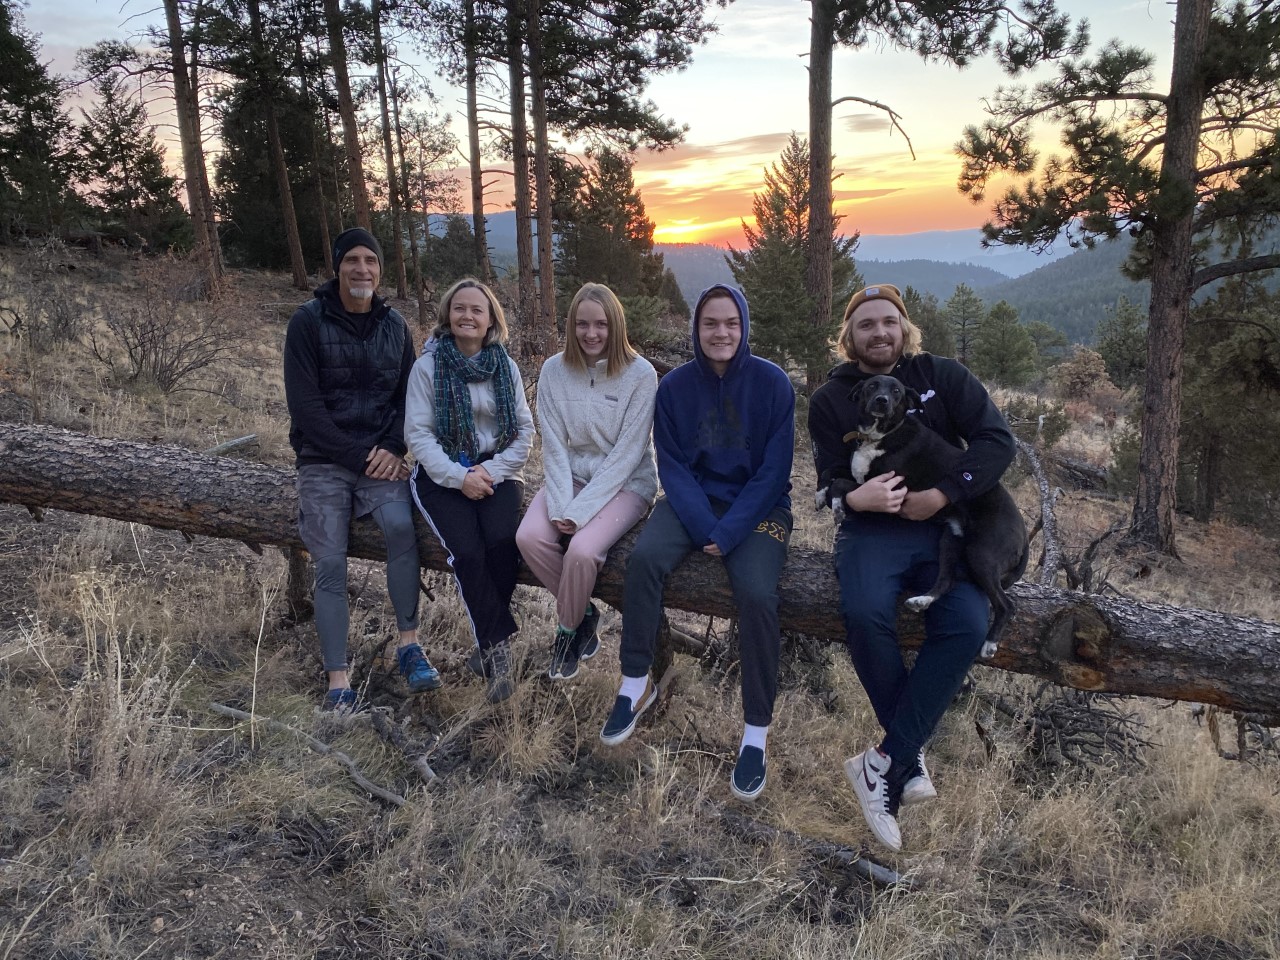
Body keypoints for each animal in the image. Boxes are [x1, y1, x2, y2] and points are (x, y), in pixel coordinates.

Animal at [819, 376, 1029, 660]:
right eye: (872, 385)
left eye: (896, 391)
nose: (882, 401)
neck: (882, 435)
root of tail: (1025, 535)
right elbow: (832, 474)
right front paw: (822, 494)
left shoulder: (889, 491)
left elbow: (840, 483)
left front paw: (838, 505)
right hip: (951, 541)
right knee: (947, 580)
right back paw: (922, 600)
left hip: (981, 553)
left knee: (1007, 605)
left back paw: (990, 644)